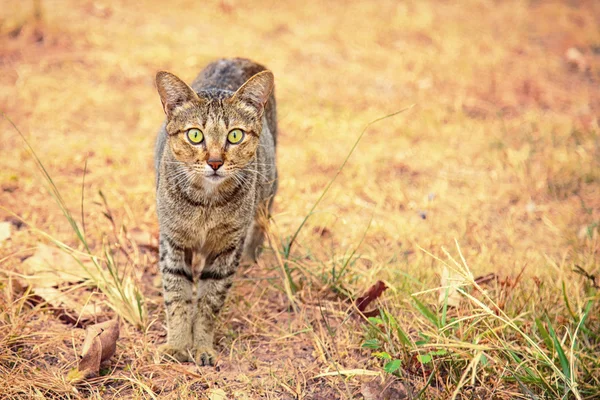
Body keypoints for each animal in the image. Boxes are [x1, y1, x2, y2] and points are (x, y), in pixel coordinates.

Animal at [154, 57, 278, 368]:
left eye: (235, 135)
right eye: (195, 134)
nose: (214, 162)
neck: (206, 206)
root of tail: (241, 58)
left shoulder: (227, 251)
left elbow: (209, 303)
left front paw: (201, 347)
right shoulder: (173, 243)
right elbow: (177, 296)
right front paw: (177, 345)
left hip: (269, 187)